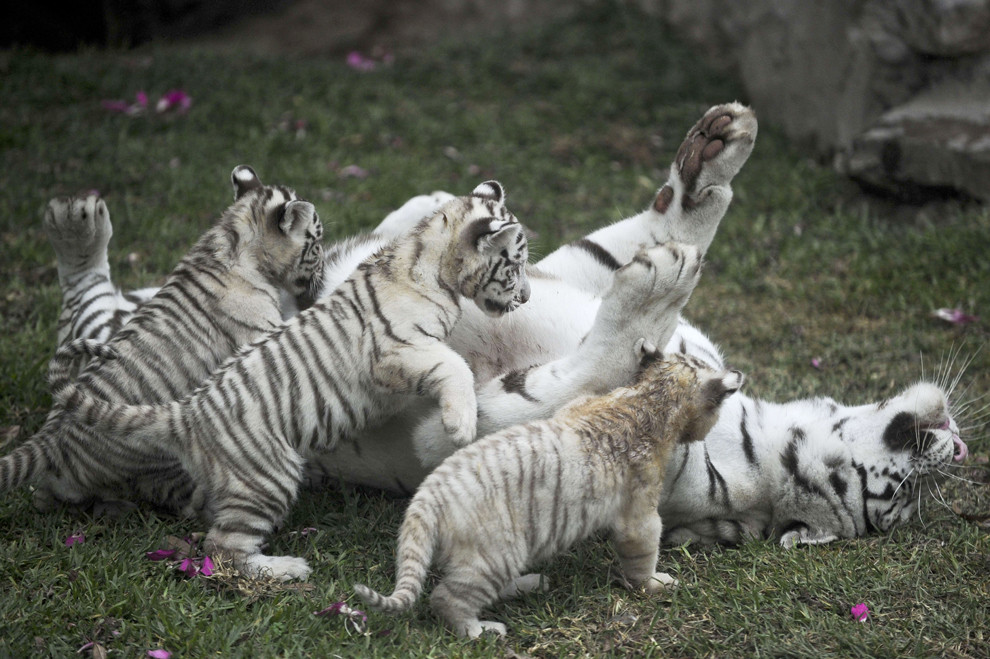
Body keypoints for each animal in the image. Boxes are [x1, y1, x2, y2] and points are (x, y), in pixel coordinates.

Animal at [356, 322, 744, 636]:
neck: (648, 399)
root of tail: (428, 498)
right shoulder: (639, 511)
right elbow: (643, 551)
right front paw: (655, 583)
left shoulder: (578, 404)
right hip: (496, 551)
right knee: (446, 597)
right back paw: (479, 630)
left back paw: (529, 583)